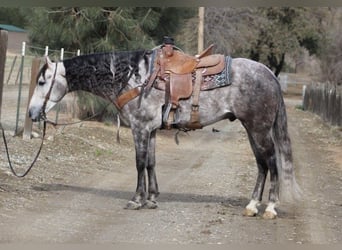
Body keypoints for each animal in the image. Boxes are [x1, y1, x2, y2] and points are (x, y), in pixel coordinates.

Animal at [29, 48, 302, 219]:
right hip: (252, 129)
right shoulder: (150, 131)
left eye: (42, 82)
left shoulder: (140, 129)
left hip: (259, 129)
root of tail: (270, 74)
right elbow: (151, 163)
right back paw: (252, 205)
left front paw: (136, 199)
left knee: (271, 163)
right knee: (262, 165)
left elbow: (139, 164)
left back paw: (270, 208)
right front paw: (151, 199)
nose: (32, 113)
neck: (133, 79)